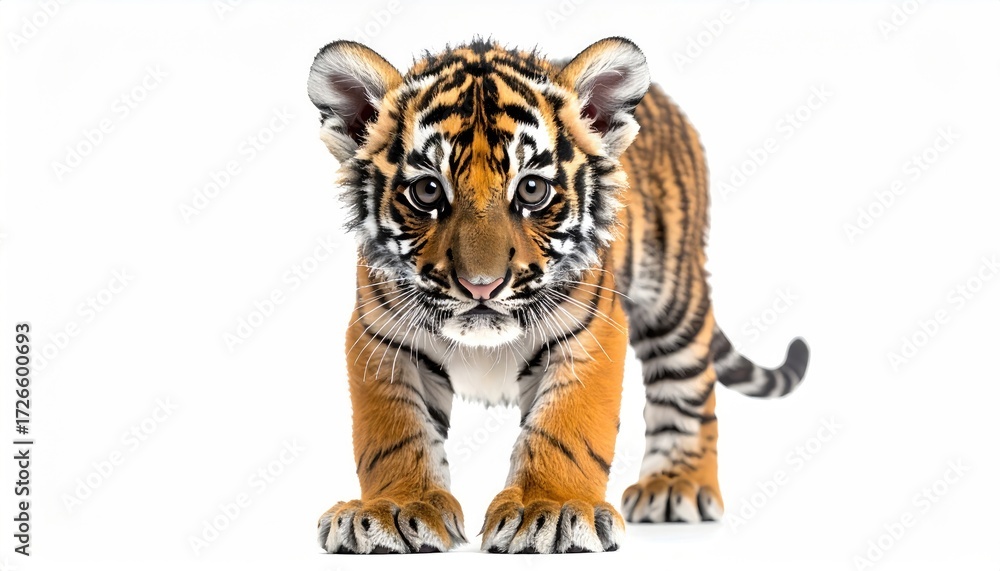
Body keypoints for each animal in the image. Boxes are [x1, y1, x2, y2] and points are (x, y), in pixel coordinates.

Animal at [306, 36, 809, 554]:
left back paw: (676, 485)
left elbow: (566, 428)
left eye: (532, 188)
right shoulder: (381, 340)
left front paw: (549, 508)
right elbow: (394, 435)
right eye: (427, 191)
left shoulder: (591, 333)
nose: (481, 284)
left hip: (674, 295)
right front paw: (392, 508)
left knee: (691, 385)